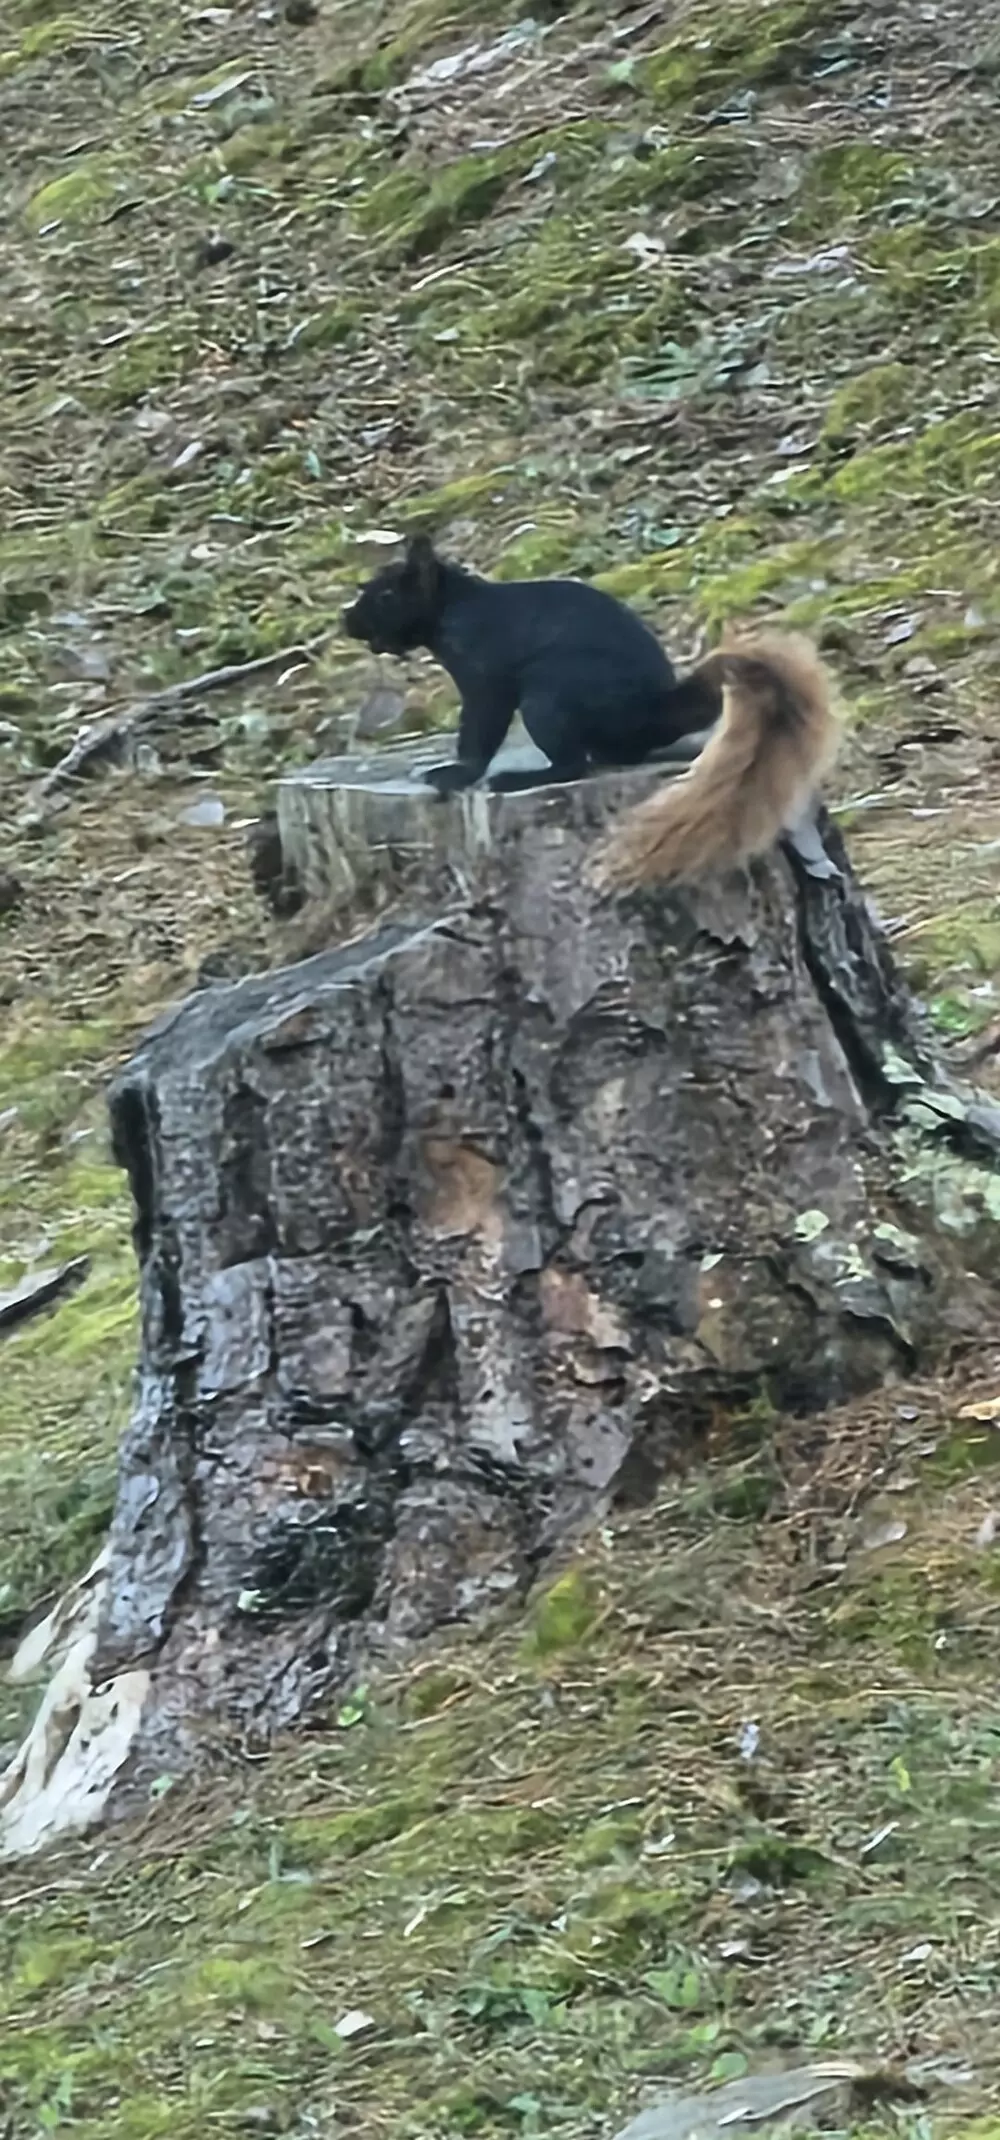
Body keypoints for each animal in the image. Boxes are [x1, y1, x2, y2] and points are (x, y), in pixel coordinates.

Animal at [342, 537, 838, 878]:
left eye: (386, 595)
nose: (346, 620)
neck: (455, 609)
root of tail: (655, 714)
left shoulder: (486, 680)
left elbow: (480, 731)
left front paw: (456, 773)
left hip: (548, 696)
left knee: (572, 765)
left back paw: (520, 778)